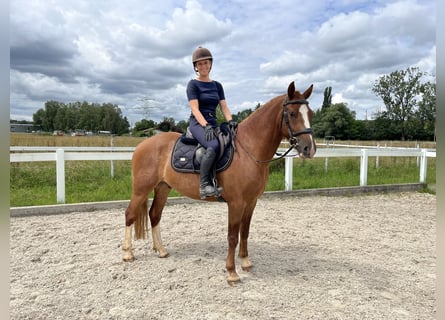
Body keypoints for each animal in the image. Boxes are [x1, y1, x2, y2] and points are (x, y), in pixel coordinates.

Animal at [122, 82, 316, 282]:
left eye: (310, 114)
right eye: (292, 113)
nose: (309, 149)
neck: (248, 150)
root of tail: (142, 145)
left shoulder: (251, 202)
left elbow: (244, 232)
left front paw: (245, 262)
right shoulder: (236, 203)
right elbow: (232, 236)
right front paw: (232, 272)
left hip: (163, 187)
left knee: (154, 215)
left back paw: (161, 250)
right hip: (141, 189)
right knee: (130, 214)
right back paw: (128, 253)